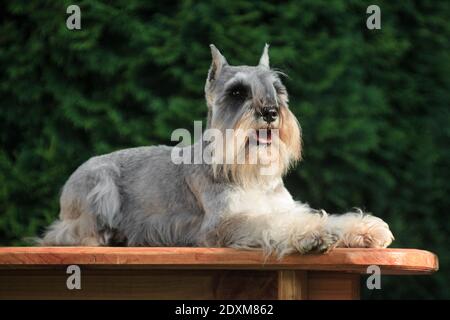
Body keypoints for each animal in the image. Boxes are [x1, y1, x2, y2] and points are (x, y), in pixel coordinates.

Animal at [42, 44, 394, 255]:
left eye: (277, 90)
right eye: (237, 92)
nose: (271, 113)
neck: (250, 174)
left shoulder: (285, 206)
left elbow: (320, 215)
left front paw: (364, 228)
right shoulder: (227, 224)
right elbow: (274, 225)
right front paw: (313, 235)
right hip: (99, 187)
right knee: (65, 236)